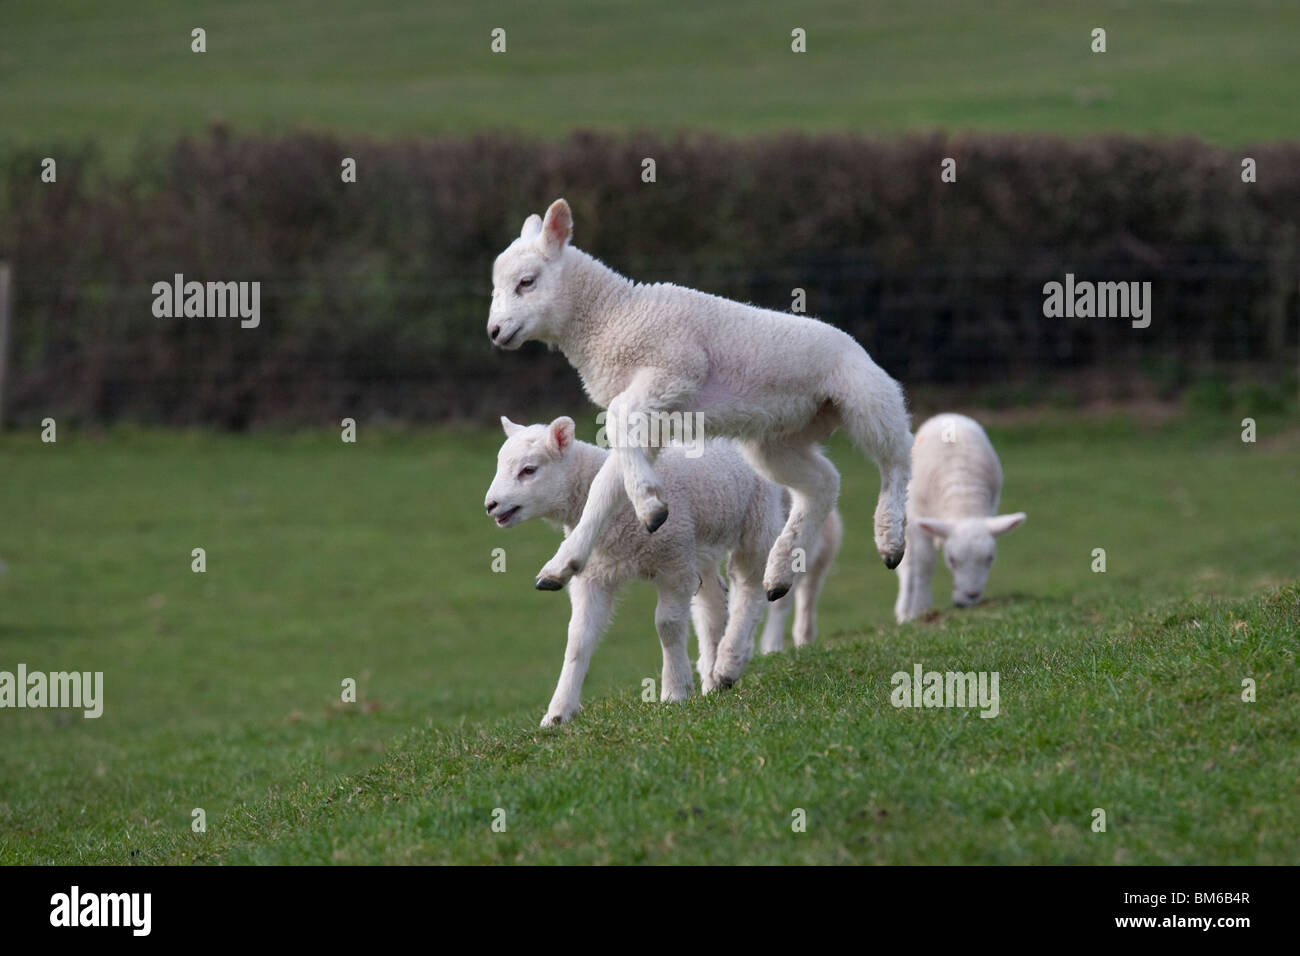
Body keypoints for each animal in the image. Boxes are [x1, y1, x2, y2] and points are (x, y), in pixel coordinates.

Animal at [483, 416, 837, 723]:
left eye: (529, 470)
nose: (490, 506)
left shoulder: (673, 561)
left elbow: (667, 626)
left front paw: (674, 692)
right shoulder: (595, 574)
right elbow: (578, 639)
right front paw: (558, 714)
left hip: (756, 520)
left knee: (749, 586)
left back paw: (729, 662)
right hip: (699, 544)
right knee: (712, 605)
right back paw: (712, 677)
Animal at [488, 200, 915, 606]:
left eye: (526, 282)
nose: (494, 331)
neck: (612, 317)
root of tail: (854, 344)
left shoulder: (675, 368)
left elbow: (617, 420)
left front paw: (649, 505)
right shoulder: (655, 414)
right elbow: (605, 485)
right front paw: (563, 564)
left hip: (864, 394)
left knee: (897, 454)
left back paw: (890, 538)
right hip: (781, 435)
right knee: (824, 482)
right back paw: (780, 572)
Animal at [894, 413, 1024, 629]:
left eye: (990, 559)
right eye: (952, 560)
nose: (971, 596)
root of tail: (947, 415)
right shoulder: (918, 517)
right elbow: (924, 564)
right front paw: (921, 609)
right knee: (908, 566)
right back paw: (904, 611)